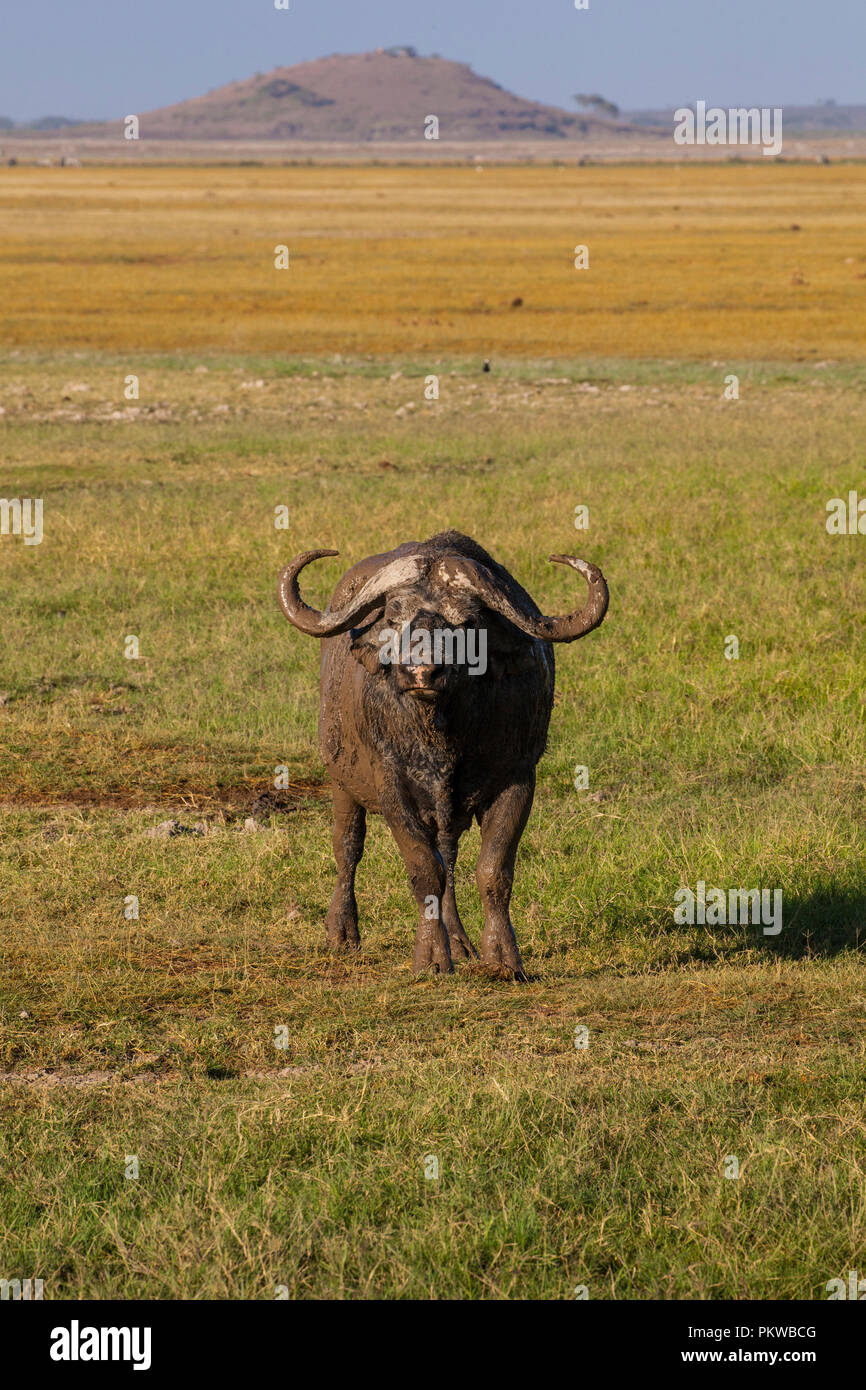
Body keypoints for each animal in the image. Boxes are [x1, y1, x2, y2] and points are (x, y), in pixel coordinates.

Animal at [278, 530, 608, 978]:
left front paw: (502, 958)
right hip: (341, 780)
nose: (422, 672)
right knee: (348, 846)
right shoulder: (392, 785)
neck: (442, 734)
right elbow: (424, 871)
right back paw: (343, 934)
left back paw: (460, 942)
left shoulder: (519, 780)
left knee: (449, 857)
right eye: (394, 618)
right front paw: (432, 959)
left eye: (467, 622)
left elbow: (492, 871)